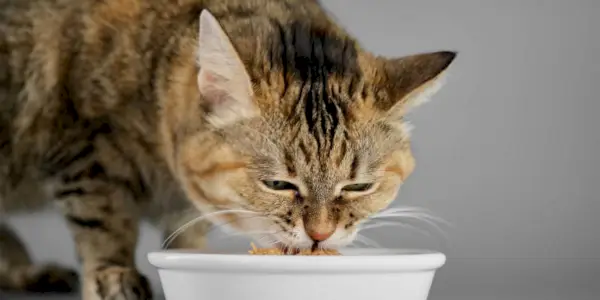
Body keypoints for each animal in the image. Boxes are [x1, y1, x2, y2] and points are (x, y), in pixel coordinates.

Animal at [0, 0, 458, 298]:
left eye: (359, 187)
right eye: (279, 184)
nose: (320, 234)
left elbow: (187, 230)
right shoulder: (83, 147)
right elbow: (104, 222)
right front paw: (114, 274)